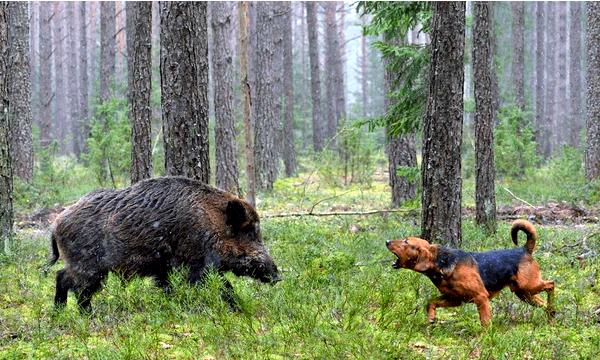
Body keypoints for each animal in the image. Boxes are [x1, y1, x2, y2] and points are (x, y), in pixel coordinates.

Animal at [386, 219, 556, 326]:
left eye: (406, 241)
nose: (387, 241)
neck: (441, 263)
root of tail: (524, 249)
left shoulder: (481, 297)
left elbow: (485, 323)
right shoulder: (455, 299)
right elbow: (431, 302)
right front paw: (431, 318)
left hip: (528, 286)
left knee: (551, 284)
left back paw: (552, 311)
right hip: (524, 293)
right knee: (544, 302)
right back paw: (551, 318)